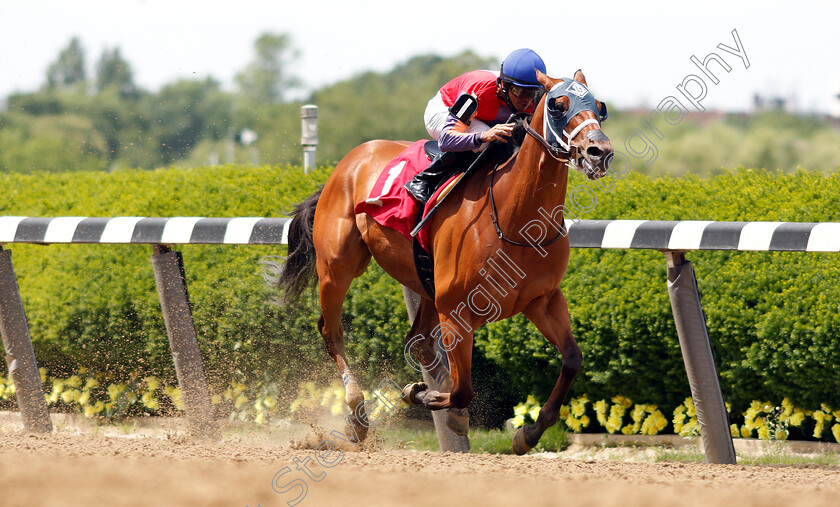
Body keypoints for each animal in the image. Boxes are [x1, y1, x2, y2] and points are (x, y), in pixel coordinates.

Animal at [278, 69, 612, 454]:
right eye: (557, 105)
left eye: (599, 106)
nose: (600, 152)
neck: (516, 219)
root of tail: (350, 160)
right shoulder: (456, 311)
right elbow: (463, 390)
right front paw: (418, 393)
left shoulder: (542, 300)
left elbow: (572, 358)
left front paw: (527, 433)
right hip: (337, 267)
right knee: (332, 331)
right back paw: (358, 415)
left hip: (423, 282)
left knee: (418, 341)